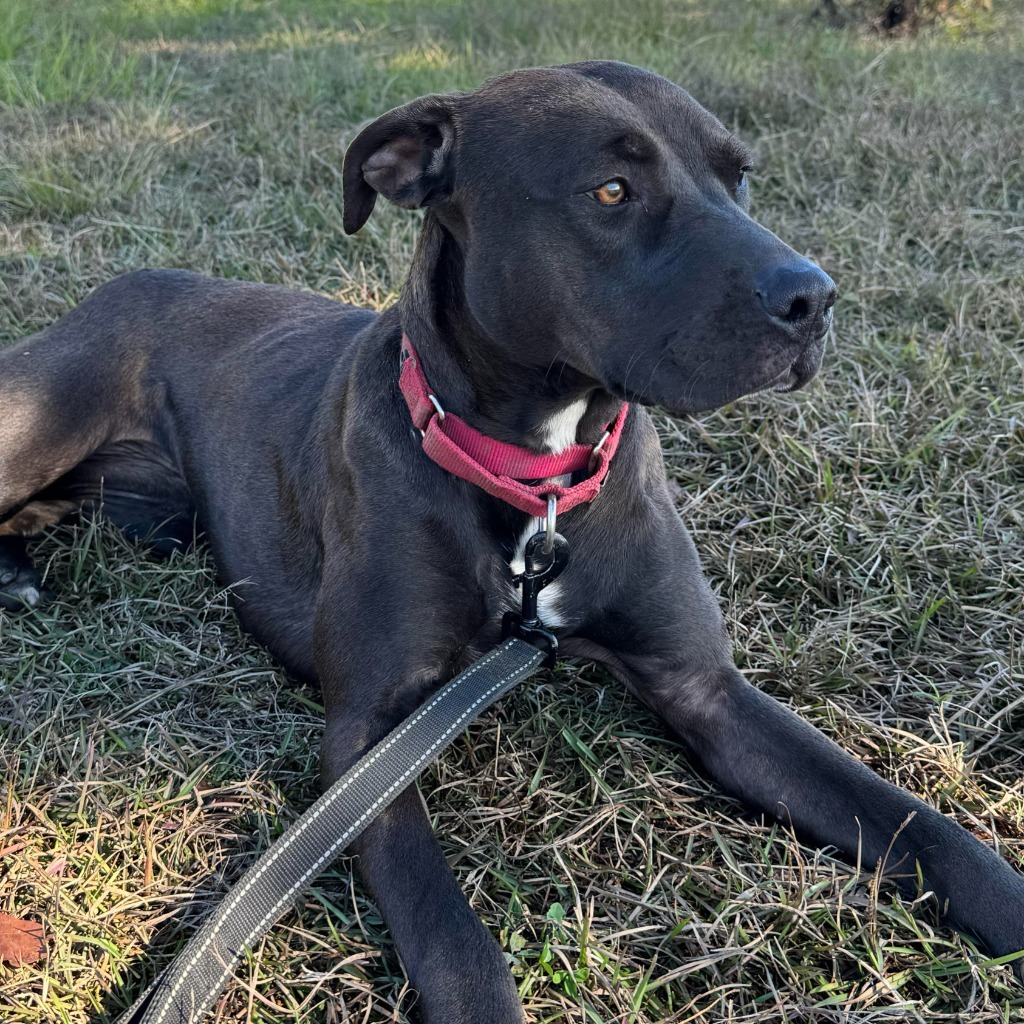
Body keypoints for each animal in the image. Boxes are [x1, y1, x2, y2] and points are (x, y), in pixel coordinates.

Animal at [0, 59, 1019, 1019]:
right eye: (610, 191)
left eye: (739, 176)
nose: (815, 298)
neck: (537, 481)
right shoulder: (367, 737)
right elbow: (459, 948)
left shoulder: (706, 690)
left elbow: (921, 827)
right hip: (43, 420)